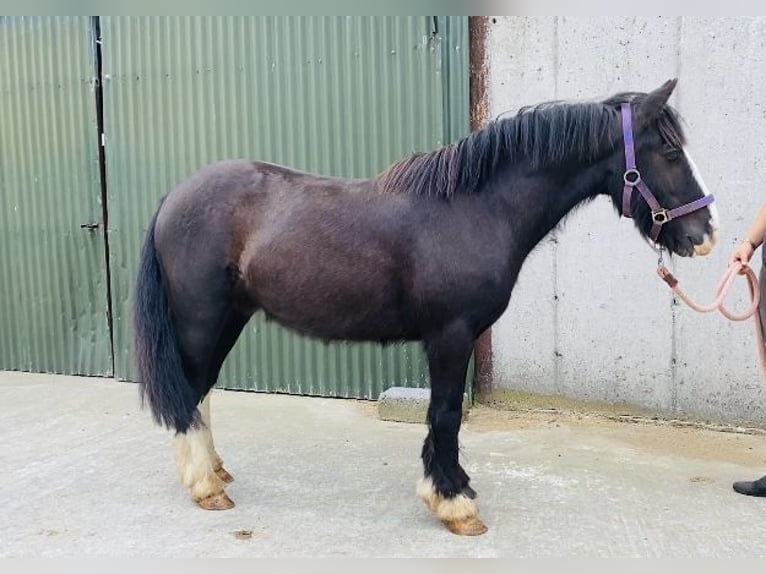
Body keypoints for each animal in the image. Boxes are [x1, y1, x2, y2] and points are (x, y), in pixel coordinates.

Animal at [130, 79, 720, 536]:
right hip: (202, 320)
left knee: (200, 392)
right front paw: (455, 504)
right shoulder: (450, 336)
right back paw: (205, 486)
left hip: (227, 317)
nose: (704, 235)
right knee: (190, 391)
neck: (475, 208)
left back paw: (215, 471)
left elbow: (446, 416)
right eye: (670, 153)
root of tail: (173, 197)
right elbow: (447, 414)